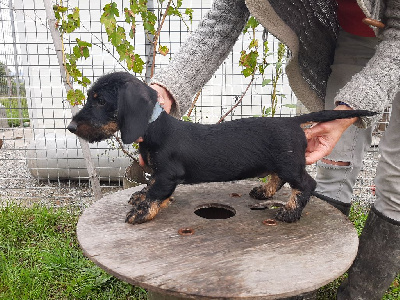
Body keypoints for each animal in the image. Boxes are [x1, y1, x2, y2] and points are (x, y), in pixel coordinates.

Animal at [67, 71, 376, 224]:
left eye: (100, 100)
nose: (70, 127)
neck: (155, 127)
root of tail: (292, 120)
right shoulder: (159, 173)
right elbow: (152, 186)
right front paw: (141, 197)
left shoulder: (167, 174)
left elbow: (156, 191)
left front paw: (143, 211)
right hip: (281, 162)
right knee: (277, 177)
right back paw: (264, 191)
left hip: (290, 163)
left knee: (306, 185)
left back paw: (290, 212)